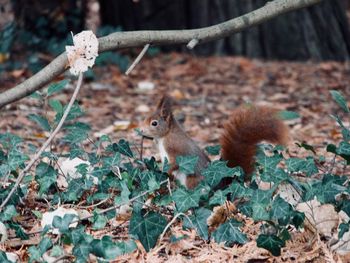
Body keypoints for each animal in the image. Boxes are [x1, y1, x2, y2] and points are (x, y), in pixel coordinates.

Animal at [141, 95, 288, 190]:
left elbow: (175, 163)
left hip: (193, 180)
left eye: (154, 123)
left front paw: (166, 172)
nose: (141, 130)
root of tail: (218, 185)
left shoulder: (174, 148)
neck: (165, 136)